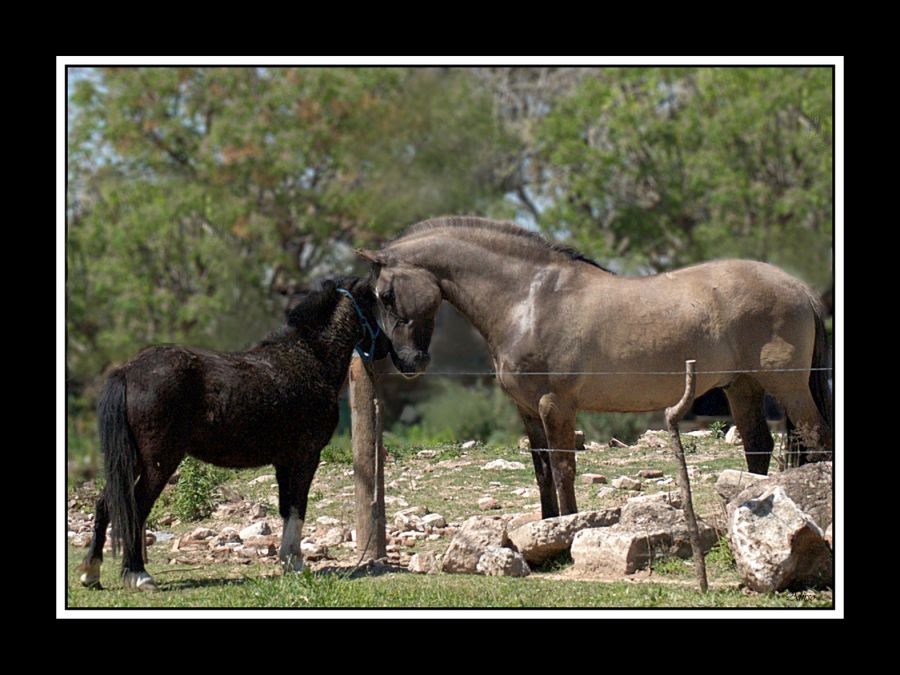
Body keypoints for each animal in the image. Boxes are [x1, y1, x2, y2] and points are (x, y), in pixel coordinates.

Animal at [75, 278, 388, 588]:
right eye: (371, 306)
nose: (386, 349)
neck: (309, 358)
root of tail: (128, 371)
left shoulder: (284, 462)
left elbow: (286, 507)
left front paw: (287, 562)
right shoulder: (306, 457)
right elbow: (298, 507)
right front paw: (297, 563)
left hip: (132, 460)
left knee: (105, 504)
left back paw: (91, 573)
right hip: (158, 463)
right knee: (136, 509)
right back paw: (138, 575)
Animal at [356, 217, 828, 516]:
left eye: (385, 295)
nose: (408, 363)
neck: (529, 299)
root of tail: (798, 287)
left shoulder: (556, 406)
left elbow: (564, 468)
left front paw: (567, 527)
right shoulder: (527, 410)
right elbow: (542, 470)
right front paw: (546, 527)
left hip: (787, 387)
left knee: (816, 438)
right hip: (742, 386)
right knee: (758, 446)